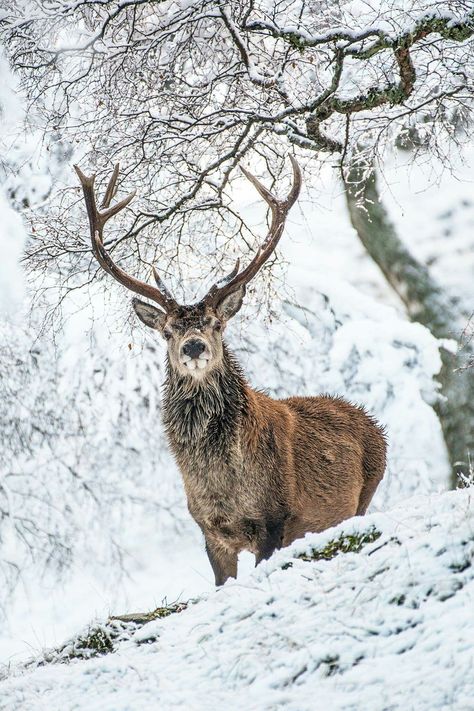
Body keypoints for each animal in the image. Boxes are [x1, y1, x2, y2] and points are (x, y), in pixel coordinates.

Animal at [74, 159, 386, 588]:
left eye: (217, 324)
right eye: (168, 331)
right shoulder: (209, 531)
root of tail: (373, 424)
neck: (223, 483)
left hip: (365, 495)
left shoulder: (274, 519)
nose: (193, 346)